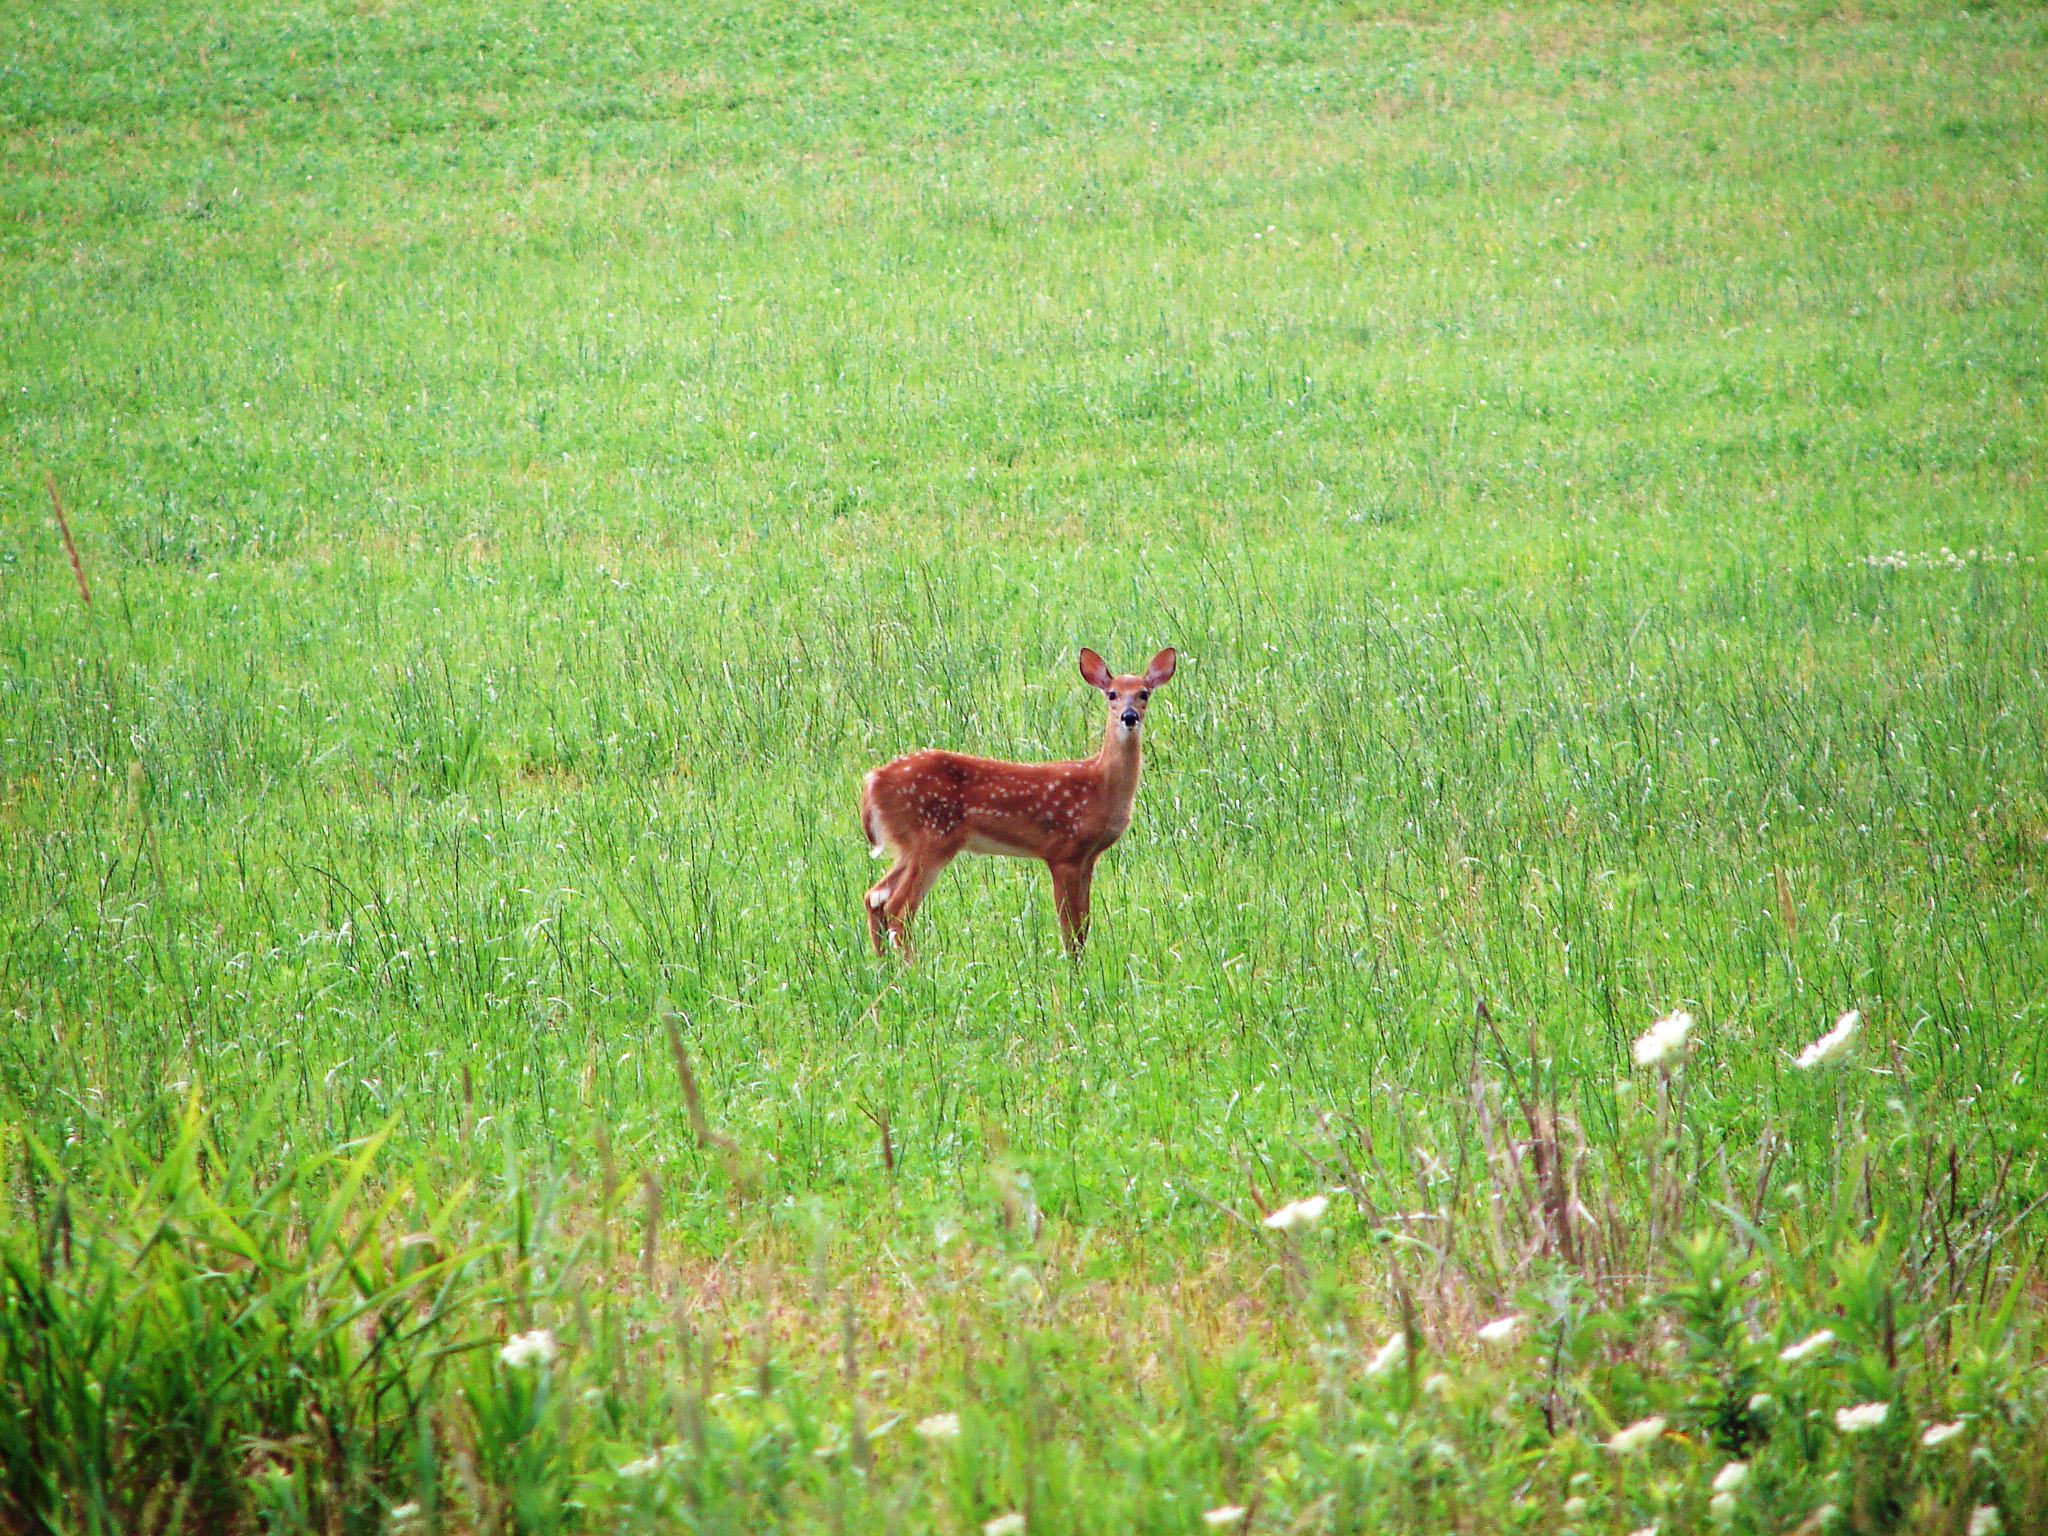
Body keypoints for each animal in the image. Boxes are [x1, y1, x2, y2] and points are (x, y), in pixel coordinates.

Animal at [856, 651, 1179, 962]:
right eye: (1112, 694)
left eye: (1143, 693)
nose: (1129, 716)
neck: (1100, 786)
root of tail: (873, 781)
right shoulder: (1063, 851)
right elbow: (1069, 927)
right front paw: (1074, 972)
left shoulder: (1089, 857)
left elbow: (1083, 925)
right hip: (932, 839)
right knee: (898, 908)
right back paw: (913, 970)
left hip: (910, 845)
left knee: (875, 898)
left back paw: (884, 969)